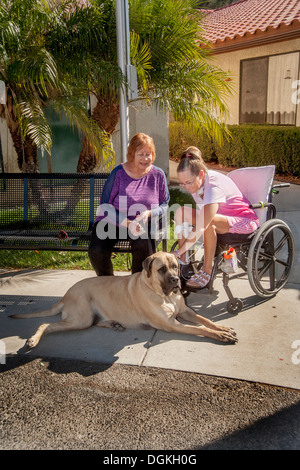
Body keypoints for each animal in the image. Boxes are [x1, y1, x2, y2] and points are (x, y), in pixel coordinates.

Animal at [11, 252, 237, 346]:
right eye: (161, 269)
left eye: (175, 266)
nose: (175, 280)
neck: (162, 294)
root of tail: (66, 294)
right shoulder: (172, 324)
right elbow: (202, 329)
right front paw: (221, 335)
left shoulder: (185, 311)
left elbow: (206, 321)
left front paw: (222, 328)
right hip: (80, 318)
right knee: (46, 324)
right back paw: (33, 339)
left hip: (87, 318)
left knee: (96, 322)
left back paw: (115, 324)